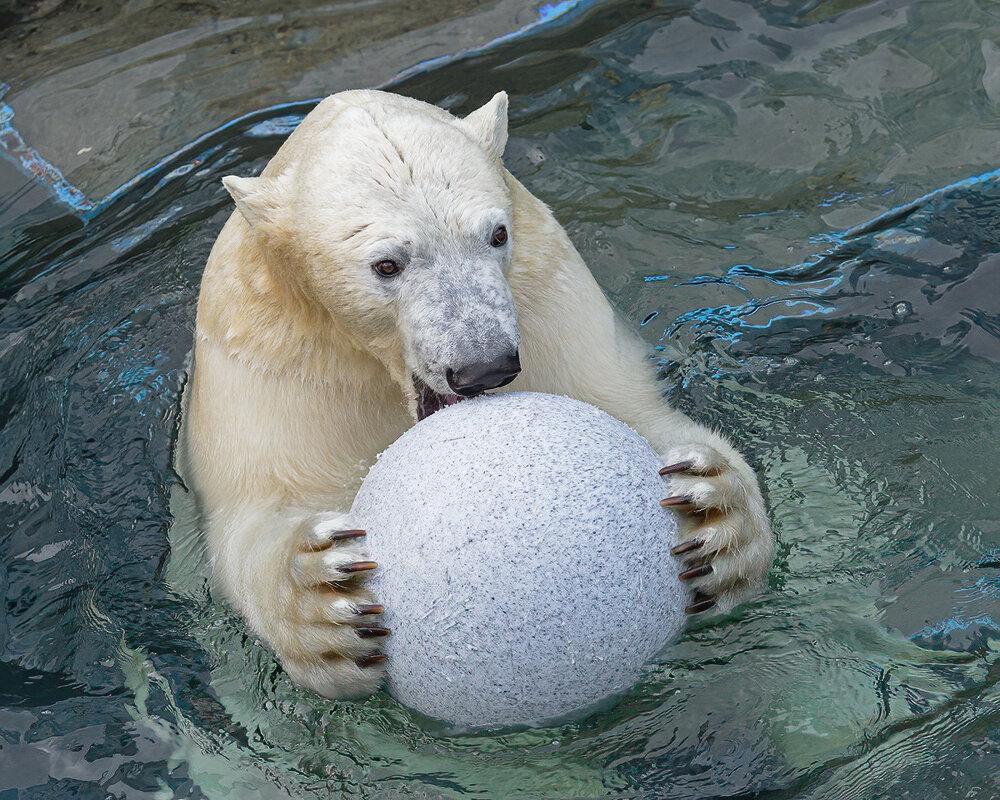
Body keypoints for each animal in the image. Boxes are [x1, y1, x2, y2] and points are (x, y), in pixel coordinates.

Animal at [178, 89, 772, 700]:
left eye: (496, 234)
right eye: (387, 264)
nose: (484, 366)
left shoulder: (551, 309)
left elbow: (636, 414)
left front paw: (716, 518)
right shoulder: (274, 362)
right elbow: (259, 505)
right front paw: (324, 600)